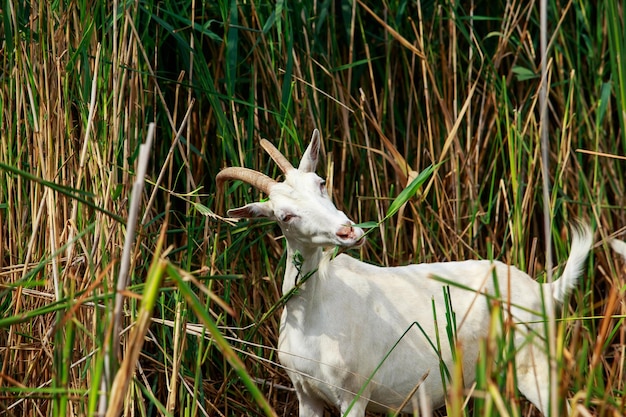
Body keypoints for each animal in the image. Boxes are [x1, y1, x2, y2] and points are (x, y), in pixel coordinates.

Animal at [217, 128, 592, 414]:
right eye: (285, 216)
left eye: (321, 182)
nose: (348, 231)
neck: (314, 314)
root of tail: (543, 290)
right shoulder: (306, 393)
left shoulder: (354, 393)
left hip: (535, 363)